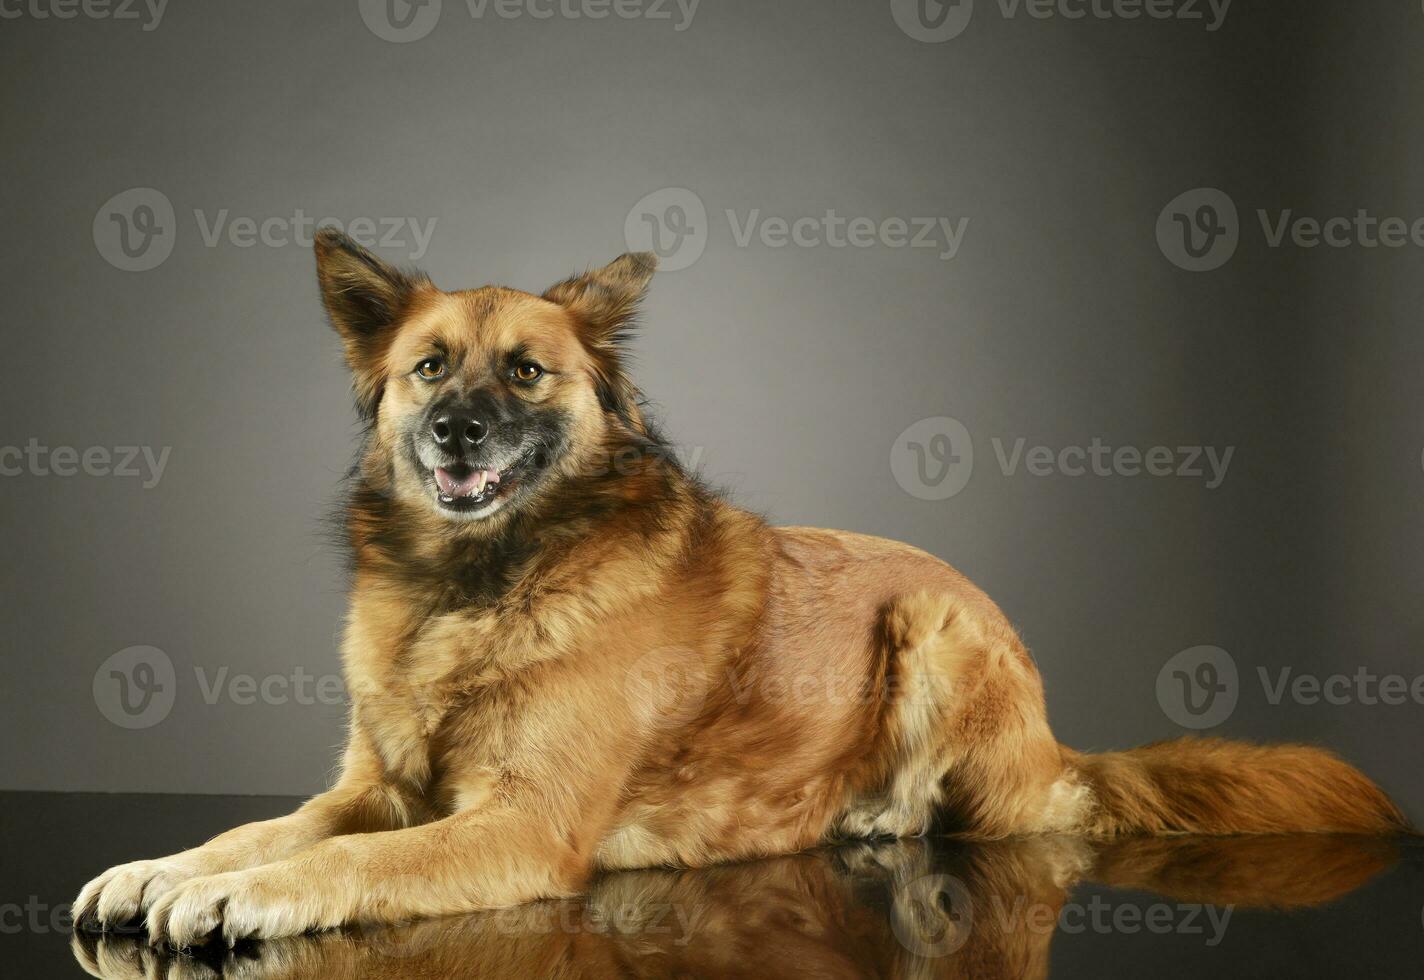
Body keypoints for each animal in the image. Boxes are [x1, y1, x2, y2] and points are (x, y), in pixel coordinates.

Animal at [72, 233, 1406, 945]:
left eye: (525, 372)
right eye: (430, 368)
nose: (456, 432)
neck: (482, 586)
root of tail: (1054, 741)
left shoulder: (520, 824)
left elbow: (339, 864)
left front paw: (237, 895)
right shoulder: (374, 787)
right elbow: (261, 826)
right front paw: (166, 868)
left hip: (935, 631)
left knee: (974, 811)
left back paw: (875, 809)